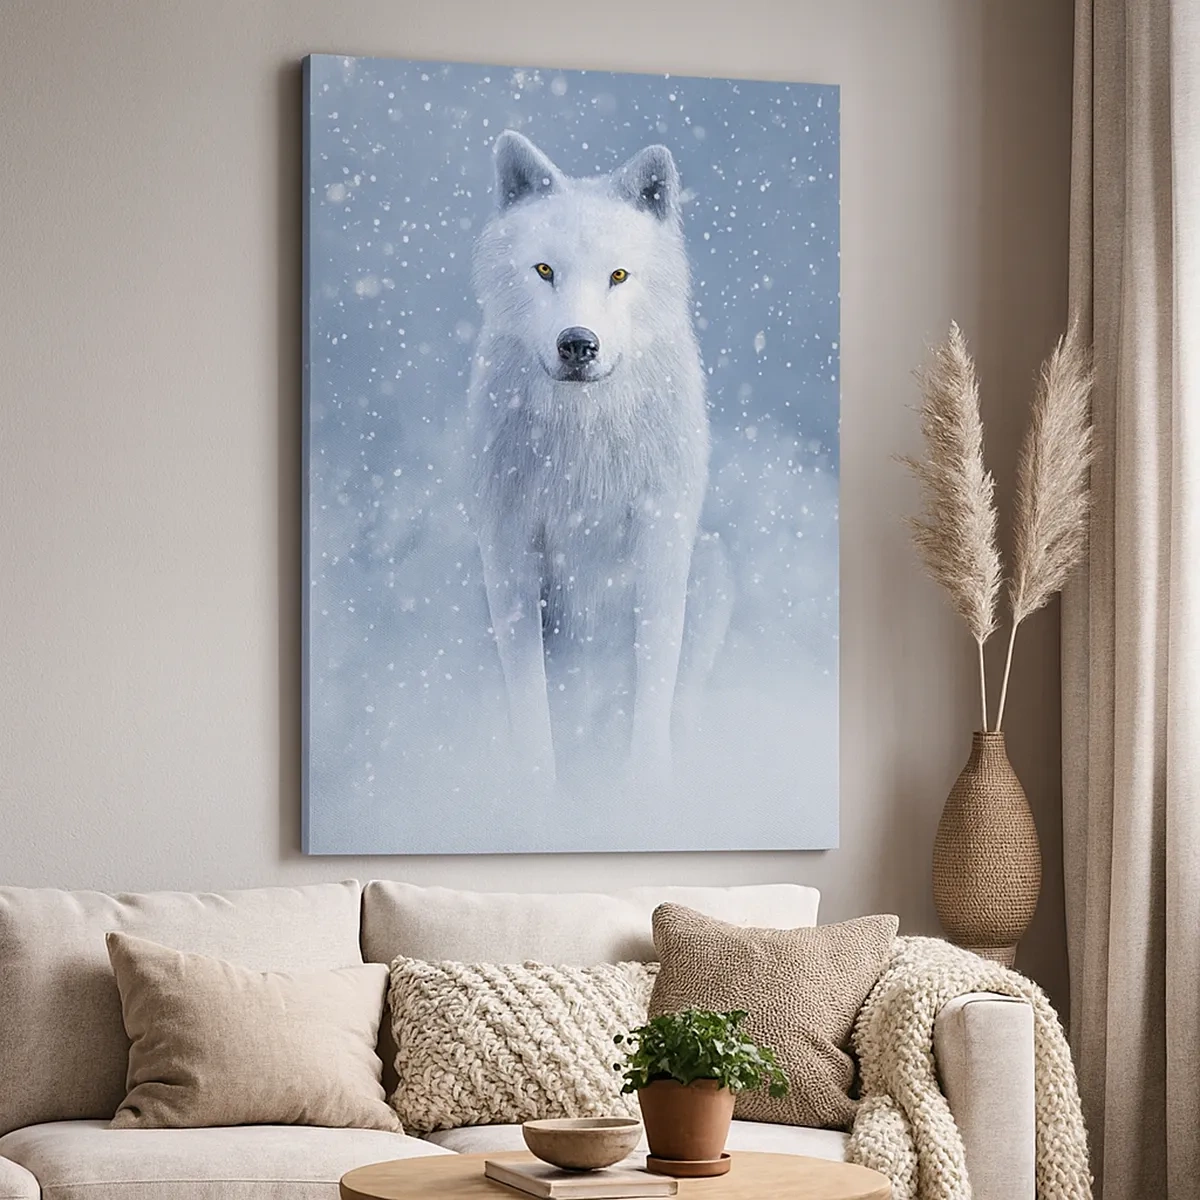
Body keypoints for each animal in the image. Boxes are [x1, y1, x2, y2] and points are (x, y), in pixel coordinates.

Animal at [468, 130, 729, 785]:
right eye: (544, 270)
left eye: (618, 274)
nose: (578, 344)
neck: (582, 443)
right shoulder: (508, 547)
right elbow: (529, 696)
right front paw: (534, 790)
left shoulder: (662, 538)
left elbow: (655, 680)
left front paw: (645, 788)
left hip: (711, 569)